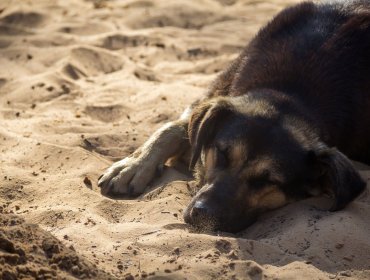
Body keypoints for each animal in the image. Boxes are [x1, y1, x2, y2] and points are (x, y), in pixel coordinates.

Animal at [97, 0, 370, 232]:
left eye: (268, 181)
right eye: (221, 154)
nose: (203, 216)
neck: (291, 93)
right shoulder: (215, 97)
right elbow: (171, 128)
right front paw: (133, 166)